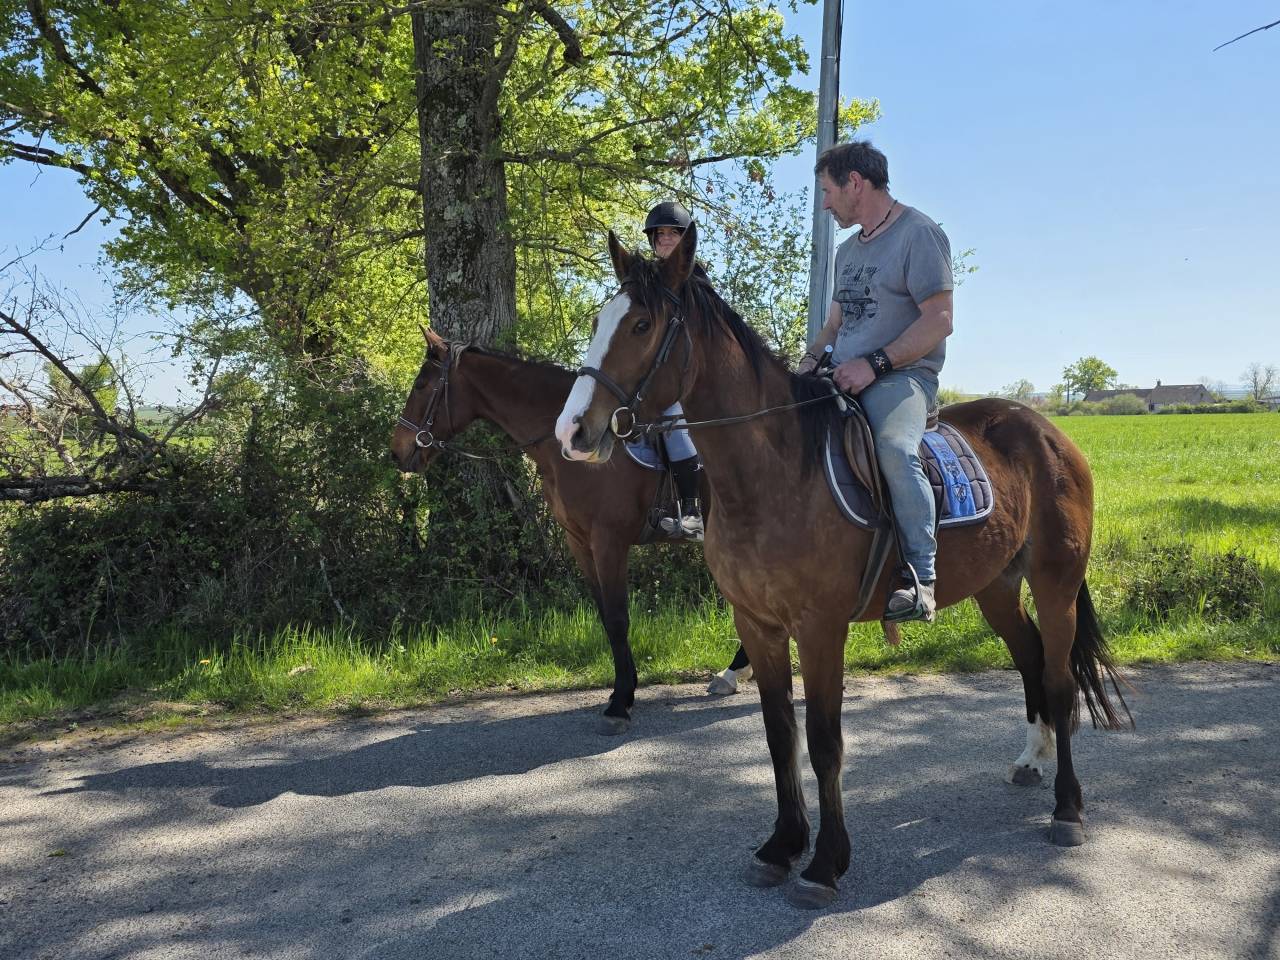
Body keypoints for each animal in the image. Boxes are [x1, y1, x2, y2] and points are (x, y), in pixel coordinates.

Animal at [390, 327, 749, 734]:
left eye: (421, 384)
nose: (397, 451)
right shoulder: (580, 542)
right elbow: (606, 617)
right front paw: (622, 689)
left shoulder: (608, 541)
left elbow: (618, 618)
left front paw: (620, 703)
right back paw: (732, 673)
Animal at [555, 224, 1131, 908]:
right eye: (601, 319)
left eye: (642, 324)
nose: (572, 430)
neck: (773, 473)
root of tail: (1048, 431)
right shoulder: (757, 624)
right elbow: (780, 735)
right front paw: (782, 845)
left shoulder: (820, 627)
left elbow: (825, 742)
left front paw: (826, 862)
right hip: (996, 588)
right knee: (1032, 659)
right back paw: (1032, 759)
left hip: (1055, 583)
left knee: (1062, 679)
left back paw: (1068, 808)